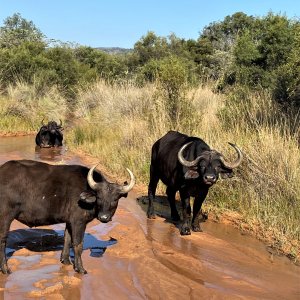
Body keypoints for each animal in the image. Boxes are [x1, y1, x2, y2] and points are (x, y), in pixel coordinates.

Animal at [0, 161, 135, 274]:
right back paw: (5, 269)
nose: (104, 217)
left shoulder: (69, 222)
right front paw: (80, 268)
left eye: (115, 199)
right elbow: (78, 244)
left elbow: (67, 239)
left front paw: (65, 261)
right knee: (2, 240)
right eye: (99, 197)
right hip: (5, 217)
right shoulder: (78, 222)